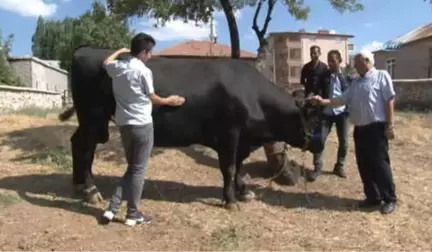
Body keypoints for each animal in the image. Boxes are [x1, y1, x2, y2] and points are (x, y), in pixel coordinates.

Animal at [58, 45, 324, 211]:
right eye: (313, 119)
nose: (319, 144)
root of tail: (85, 50)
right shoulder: (230, 135)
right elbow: (229, 168)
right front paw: (230, 200)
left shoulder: (241, 140)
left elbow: (238, 167)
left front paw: (243, 192)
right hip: (93, 118)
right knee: (85, 149)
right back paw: (90, 190)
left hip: (90, 122)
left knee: (77, 143)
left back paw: (79, 184)